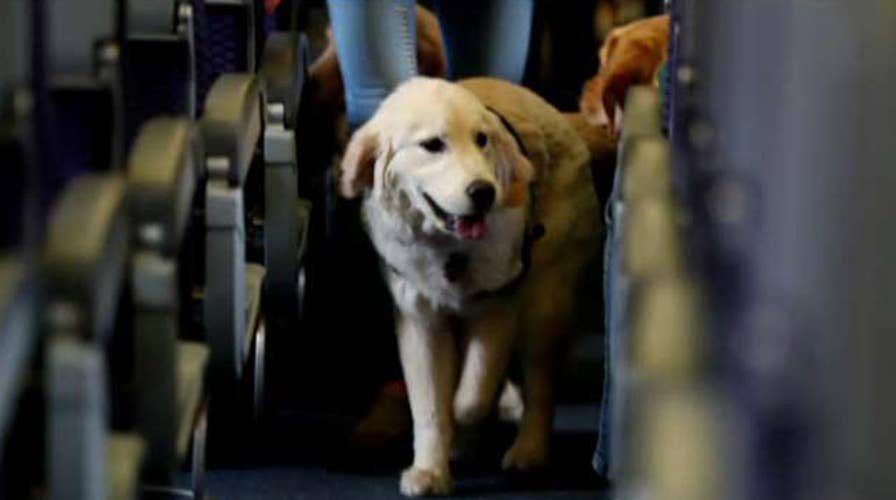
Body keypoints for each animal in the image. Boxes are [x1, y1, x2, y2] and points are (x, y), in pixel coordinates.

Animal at [340, 78, 604, 496]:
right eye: (433, 144)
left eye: (482, 140)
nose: (484, 192)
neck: (449, 247)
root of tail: (557, 116)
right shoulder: (420, 320)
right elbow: (430, 405)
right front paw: (430, 470)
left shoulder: (497, 305)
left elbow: (473, 393)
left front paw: (464, 421)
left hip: (546, 302)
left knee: (540, 385)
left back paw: (528, 450)